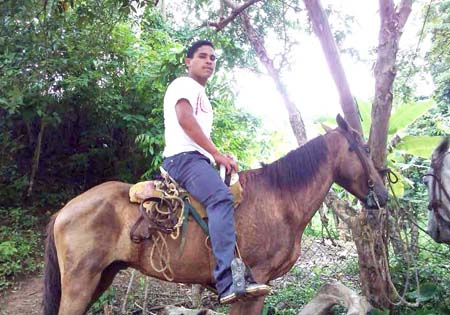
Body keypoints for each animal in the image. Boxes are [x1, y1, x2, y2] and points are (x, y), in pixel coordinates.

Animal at [41, 116, 386, 315]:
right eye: (366, 149)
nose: (383, 195)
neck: (280, 199)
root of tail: (65, 210)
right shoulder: (255, 287)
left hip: (102, 276)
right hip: (81, 282)